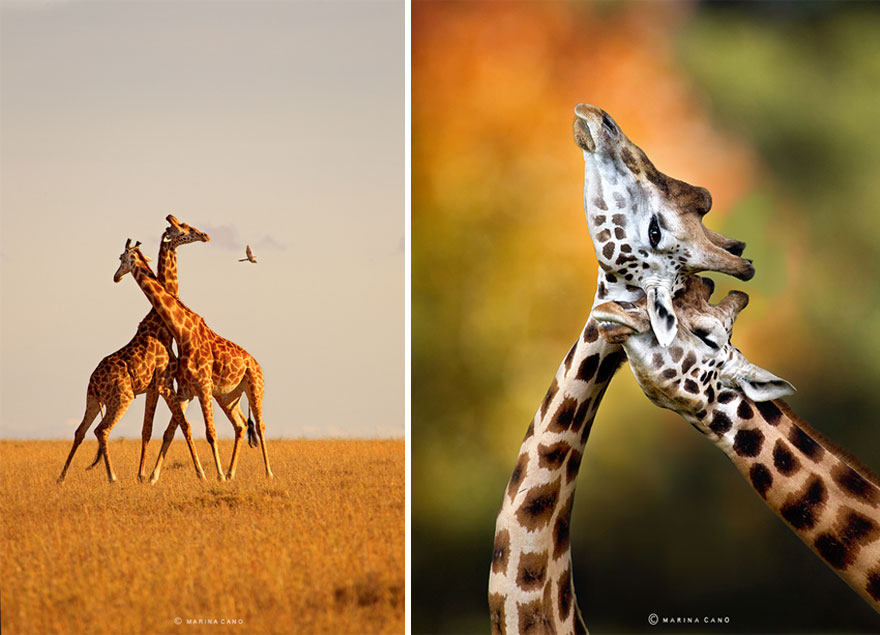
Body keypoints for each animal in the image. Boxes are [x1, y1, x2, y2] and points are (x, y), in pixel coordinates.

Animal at [58, 216, 210, 484]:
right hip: (122, 398)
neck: (159, 323)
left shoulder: (152, 387)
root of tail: (94, 381)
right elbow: (184, 426)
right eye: (184, 229)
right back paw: (112, 477)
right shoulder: (164, 383)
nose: (204, 235)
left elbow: (147, 430)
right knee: (101, 430)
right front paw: (199, 474)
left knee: (80, 430)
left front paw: (142, 475)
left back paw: (62, 477)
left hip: (91, 400)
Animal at [111, 238, 274, 482]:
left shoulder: (203, 387)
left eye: (122, 258)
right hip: (228, 397)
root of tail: (256, 363)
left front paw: (217, 476)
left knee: (261, 425)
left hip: (255, 387)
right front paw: (153, 477)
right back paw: (231, 473)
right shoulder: (186, 390)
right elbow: (171, 432)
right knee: (241, 425)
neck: (182, 334)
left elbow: (210, 433)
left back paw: (267, 473)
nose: (116, 276)